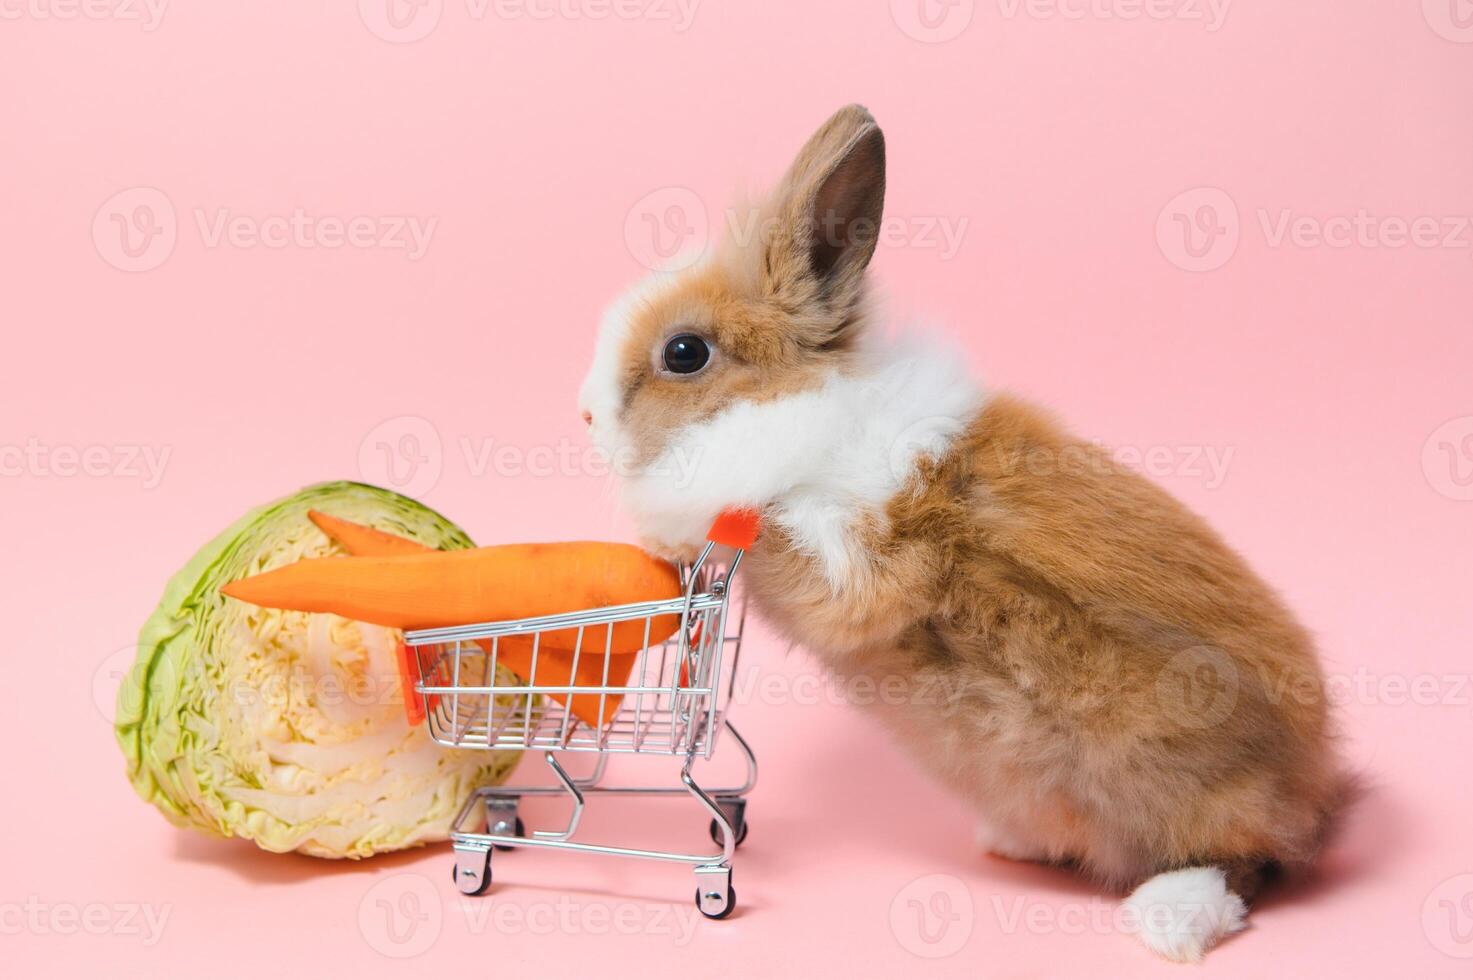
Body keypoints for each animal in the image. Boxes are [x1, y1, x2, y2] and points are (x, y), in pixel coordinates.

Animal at [574, 103, 1349, 960]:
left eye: (684, 352)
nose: (585, 416)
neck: (806, 409)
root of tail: (1316, 791)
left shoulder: (854, 559)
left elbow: (770, 540)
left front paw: (662, 530)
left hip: (1196, 793)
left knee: (1249, 867)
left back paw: (1169, 919)